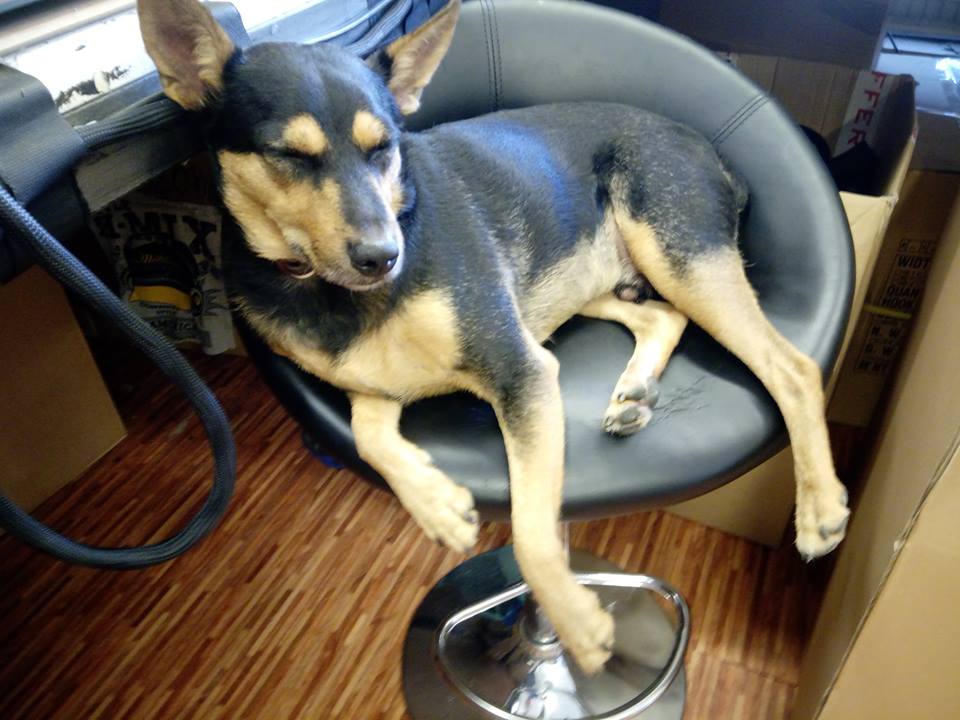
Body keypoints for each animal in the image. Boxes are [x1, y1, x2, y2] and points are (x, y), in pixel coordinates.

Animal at [138, 0, 851, 673]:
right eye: (288, 155)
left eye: (384, 148)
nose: (383, 257)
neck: (331, 291)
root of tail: (711, 153)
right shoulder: (371, 385)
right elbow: (369, 437)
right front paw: (438, 504)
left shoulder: (521, 370)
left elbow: (534, 532)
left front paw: (577, 625)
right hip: (584, 280)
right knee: (663, 318)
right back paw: (634, 394)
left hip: (675, 251)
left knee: (791, 368)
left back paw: (818, 509)